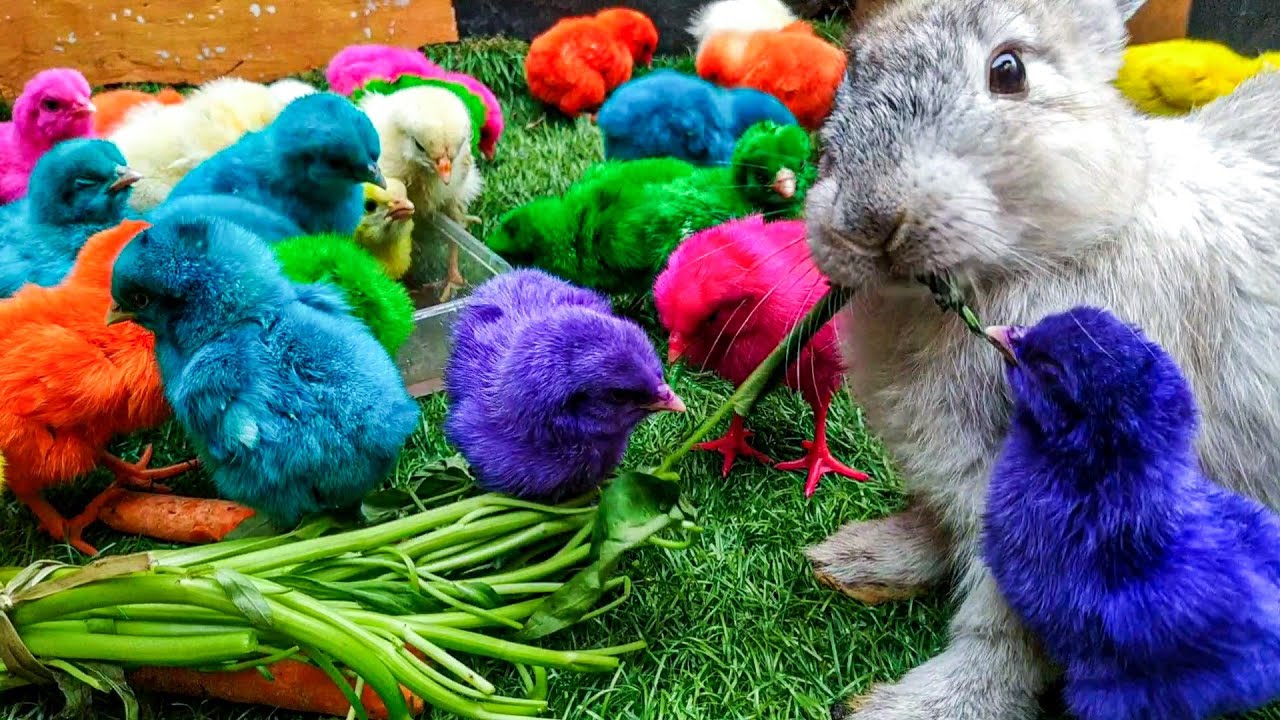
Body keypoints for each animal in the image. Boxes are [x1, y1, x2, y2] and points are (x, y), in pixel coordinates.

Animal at [803, 1, 1280, 717]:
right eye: (848, 74)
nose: (869, 220)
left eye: (1009, 72)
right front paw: (860, 559)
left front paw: (917, 706)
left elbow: (1008, 633)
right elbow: (937, 527)